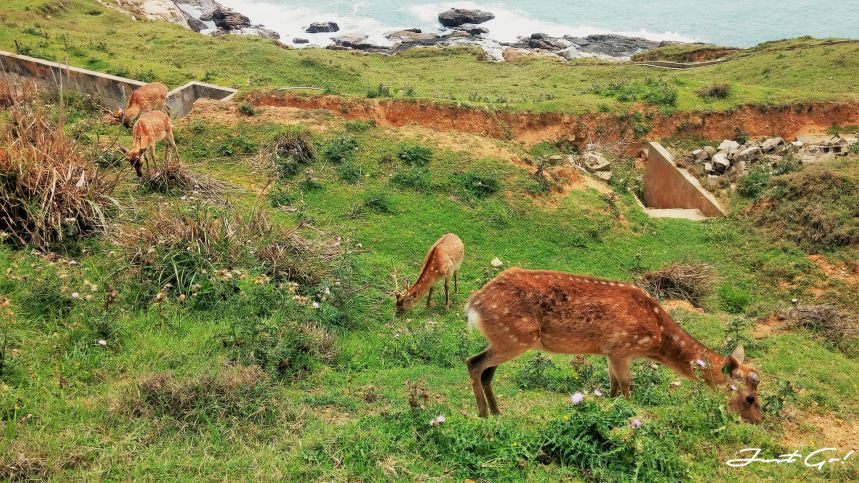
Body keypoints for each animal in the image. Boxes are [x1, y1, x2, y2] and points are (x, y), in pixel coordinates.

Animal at [465, 268, 763, 423]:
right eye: (750, 397)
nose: (758, 420)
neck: (656, 336)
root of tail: (474, 304)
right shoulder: (622, 347)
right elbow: (627, 387)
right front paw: (630, 416)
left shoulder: (609, 351)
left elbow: (613, 387)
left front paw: (610, 408)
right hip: (515, 338)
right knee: (474, 363)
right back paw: (483, 414)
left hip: (506, 339)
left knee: (486, 371)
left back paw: (497, 411)